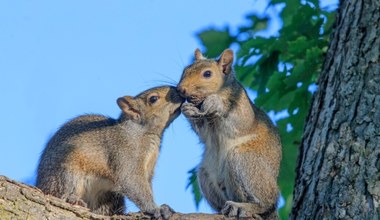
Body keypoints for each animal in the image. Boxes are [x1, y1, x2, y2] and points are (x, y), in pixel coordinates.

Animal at [36, 85, 183, 218]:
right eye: (153, 99)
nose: (178, 90)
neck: (142, 133)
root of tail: (41, 184)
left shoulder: (149, 170)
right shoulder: (125, 154)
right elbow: (131, 181)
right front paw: (155, 208)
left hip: (108, 197)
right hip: (67, 171)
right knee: (63, 189)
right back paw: (72, 198)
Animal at [178, 49, 282, 219]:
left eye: (207, 74)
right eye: (185, 70)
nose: (181, 89)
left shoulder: (241, 105)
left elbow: (240, 121)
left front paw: (214, 101)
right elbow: (203, 133)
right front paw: (188, 110)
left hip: (246, 163)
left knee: (266, 204)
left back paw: (244, 207)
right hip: (205, 175)